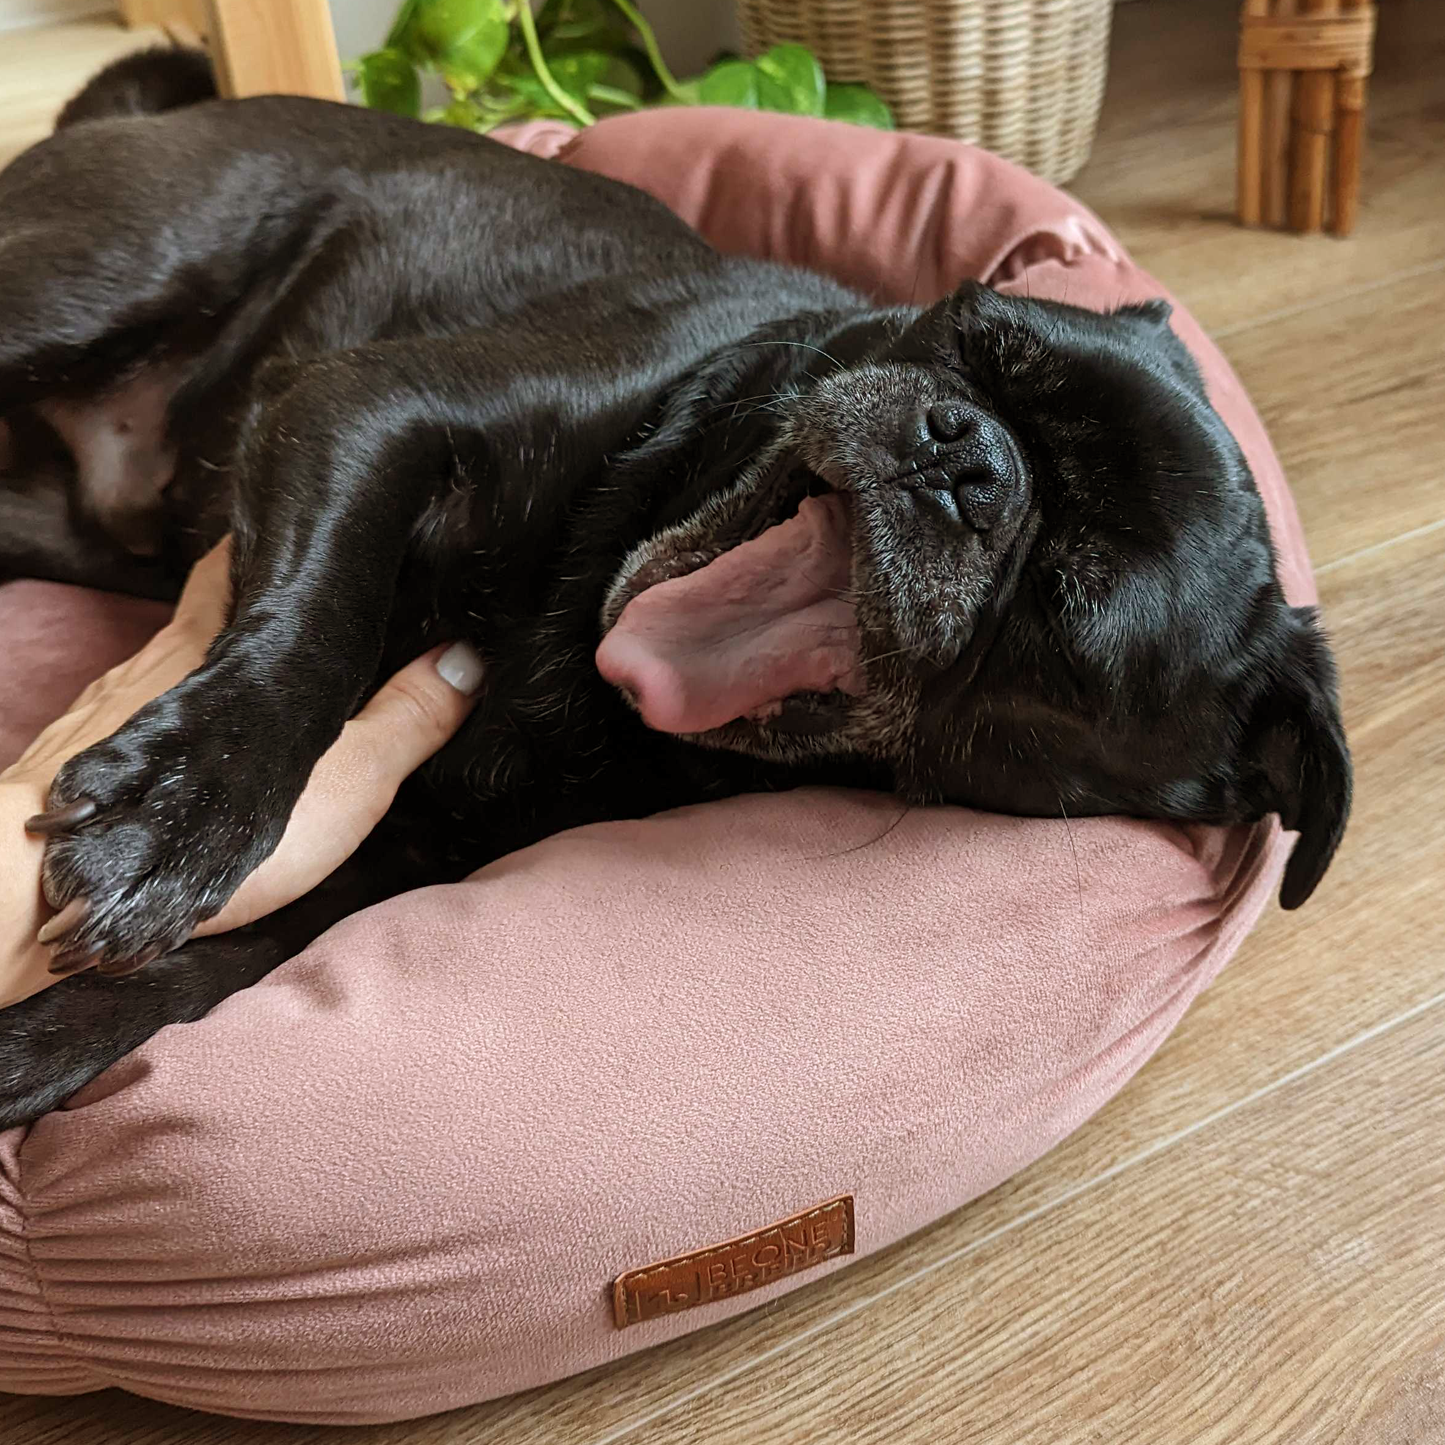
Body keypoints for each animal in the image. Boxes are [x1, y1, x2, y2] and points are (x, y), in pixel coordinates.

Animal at [0, 53, 1352, 1127]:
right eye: (970, 334)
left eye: (1067, 615)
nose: (967, 457)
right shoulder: (366, 407)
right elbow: (317, 629)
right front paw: (185, 804)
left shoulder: (401, 849)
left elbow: (231, 955)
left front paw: (47, 1036)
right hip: (95, 279)